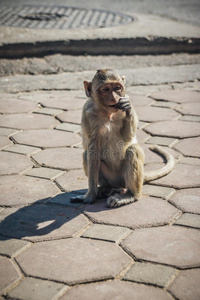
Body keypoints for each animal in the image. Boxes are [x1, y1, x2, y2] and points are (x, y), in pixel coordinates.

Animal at [71, 69, 174, 207]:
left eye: (117, 88)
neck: (108, 113)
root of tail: (118, 184)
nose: (114, 98)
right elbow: (93, 149)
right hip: (111, 178)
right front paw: (91, 194)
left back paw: (131, 195)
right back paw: (105, 189)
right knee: (87, 154)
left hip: (123, 177)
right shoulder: (88, 113)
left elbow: (128, 136)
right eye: (106, 89)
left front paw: (128, 105)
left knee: (133, 150)